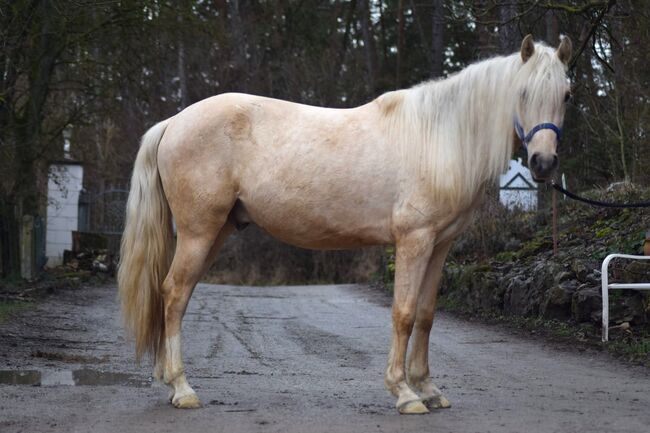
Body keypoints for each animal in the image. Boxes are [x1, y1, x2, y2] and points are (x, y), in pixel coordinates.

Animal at [119, 35, 568, 414]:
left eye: (566, 94)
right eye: (523, 93)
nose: (543, 164)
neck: (439, 137)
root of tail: (174, 122)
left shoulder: (440, 245)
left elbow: (425, 315)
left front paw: (428, 388)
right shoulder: (414, 241)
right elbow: (404, 313)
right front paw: (405, 393)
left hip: (216, 232)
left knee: (176, 294)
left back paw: (169, 380)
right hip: (198, 231)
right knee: (174, 293)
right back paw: (182, 389)